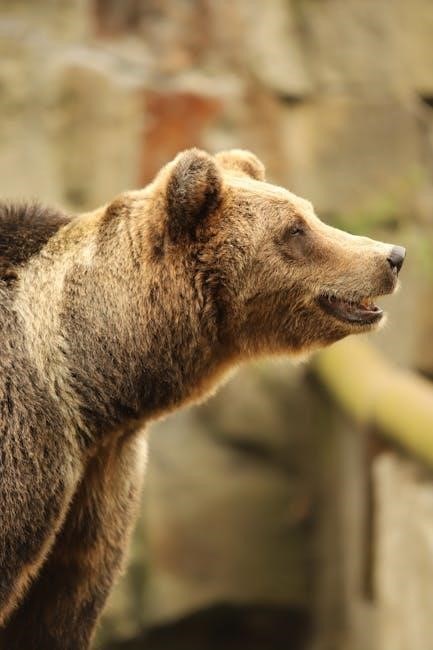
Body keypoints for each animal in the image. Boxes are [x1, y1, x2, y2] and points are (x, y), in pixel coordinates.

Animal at [0, 148, 405, 649]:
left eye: (308, 213)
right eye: (295, 229)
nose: (392, 256)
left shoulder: (98, 485)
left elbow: (59, 608)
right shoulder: (27, 440)